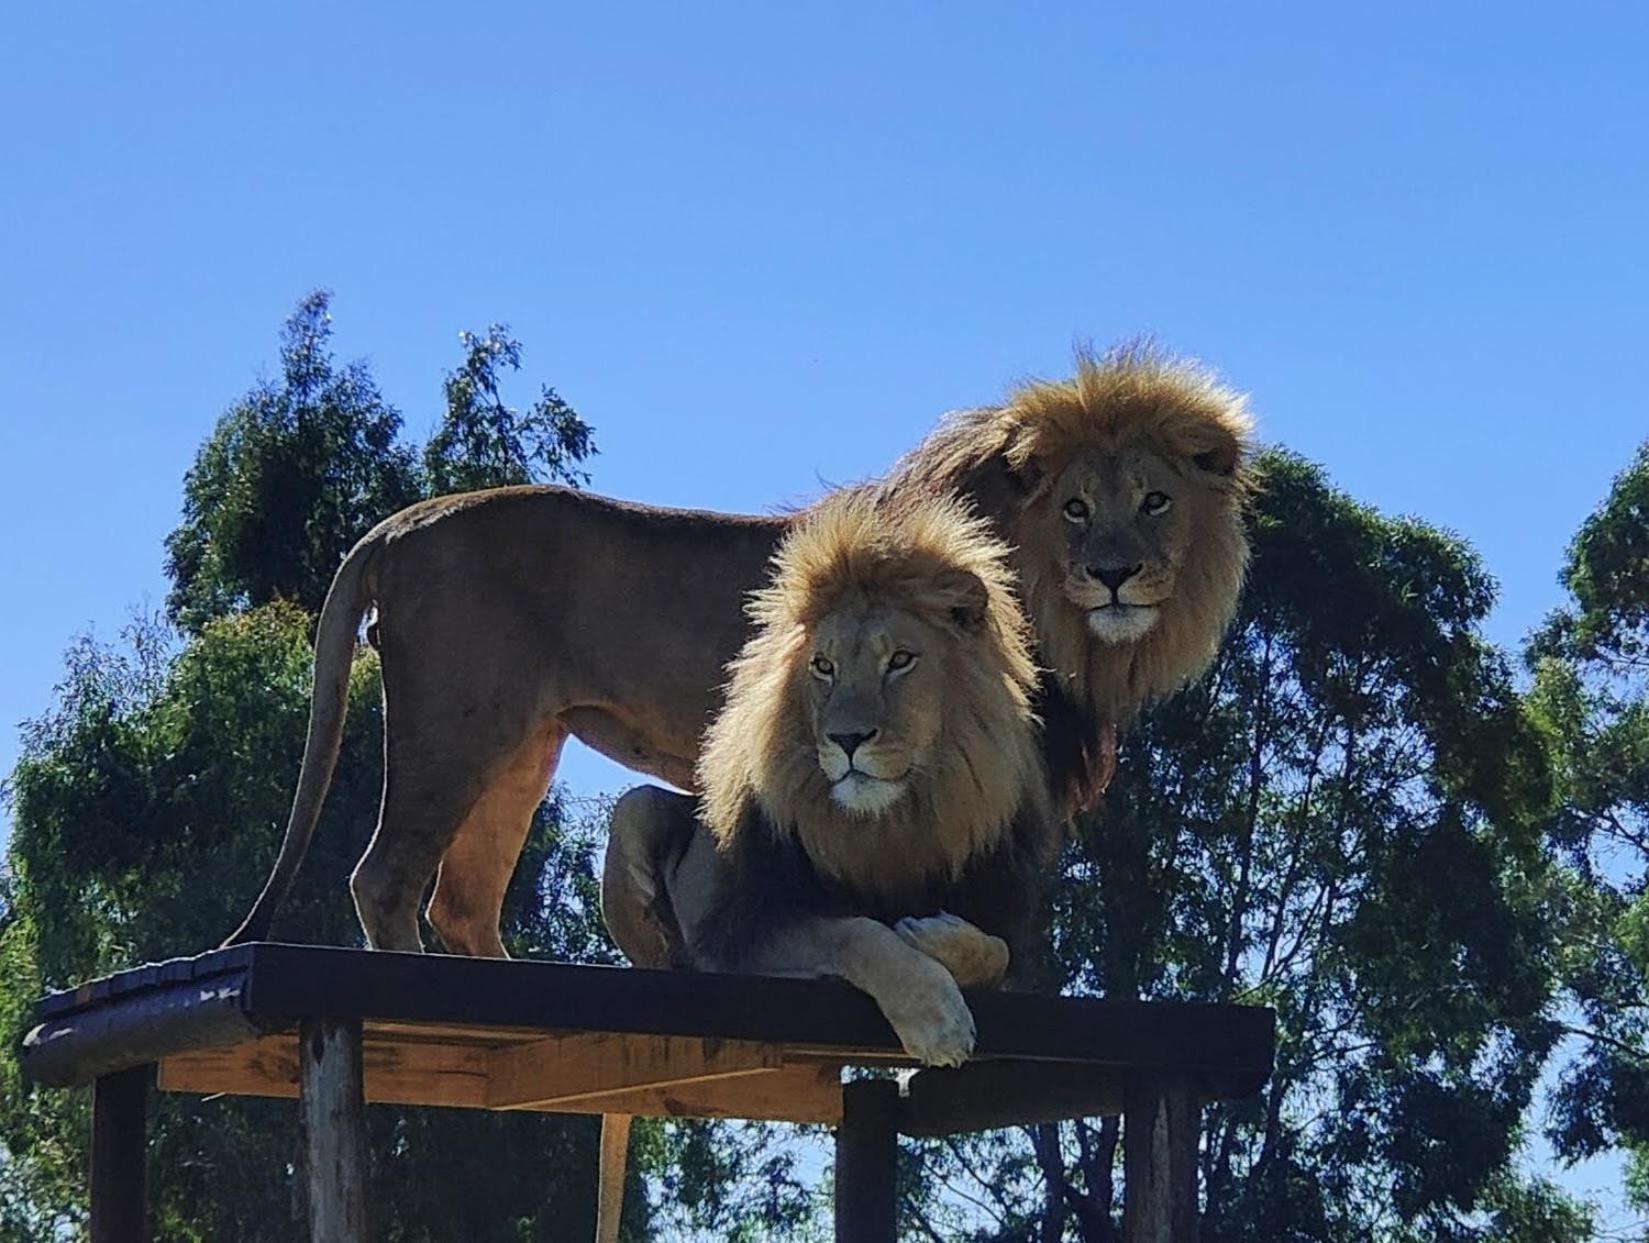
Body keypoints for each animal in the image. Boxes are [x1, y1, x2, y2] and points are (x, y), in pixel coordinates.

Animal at [222, 344, 1246, 956]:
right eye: (1075, 506)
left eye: (1152, 500)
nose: (1114, 574)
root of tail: (395, 524)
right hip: (455, 726)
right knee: (388, 877)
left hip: (522, 747)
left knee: (460, 899)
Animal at [606, 487, 1055, 1068]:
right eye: (823, 666)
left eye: (900, 660)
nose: (846, 739)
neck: (890, 825)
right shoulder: (742, 932)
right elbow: (857, 934)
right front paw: (937, 1018)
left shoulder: (1001, 922)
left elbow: (994, 950)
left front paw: (932, 936)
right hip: (635, 811)